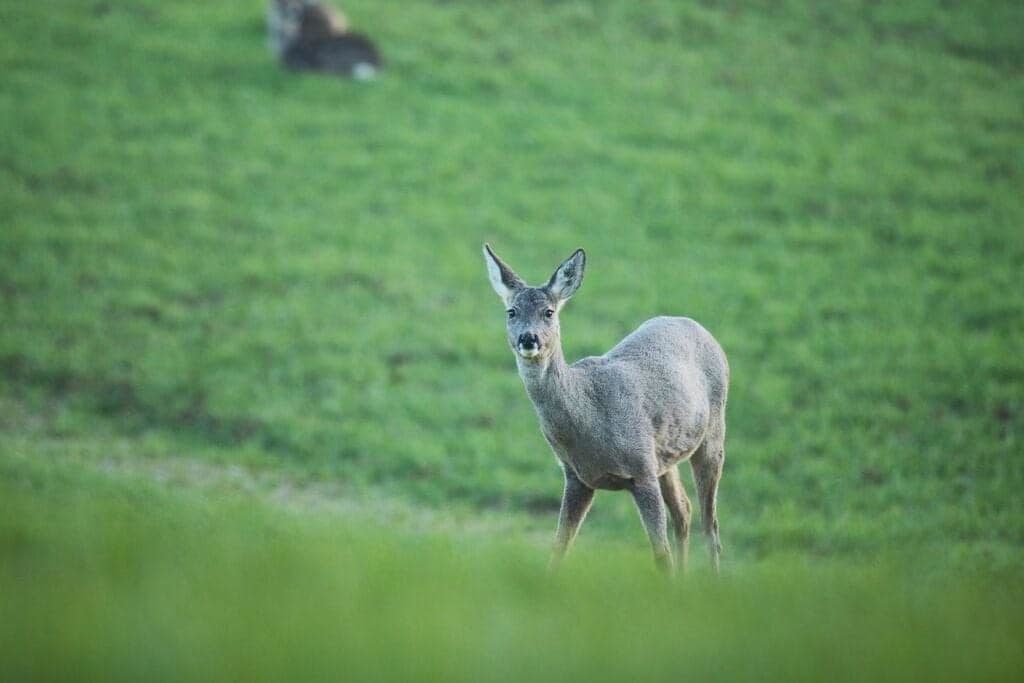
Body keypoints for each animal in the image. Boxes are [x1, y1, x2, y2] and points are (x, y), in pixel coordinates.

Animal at [481, 245, 729, 577]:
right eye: (512, 311)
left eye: (549, 312)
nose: (528, 338)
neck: (590, 414)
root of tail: (698, 327)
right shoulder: (577, 477)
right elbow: (559, 548)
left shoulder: (640, 467)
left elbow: (659, 554)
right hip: (665, 455)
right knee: (685, 510)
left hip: (713, 429)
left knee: (710, 521)